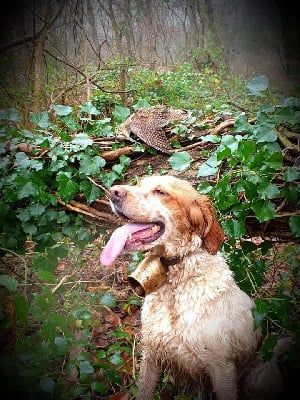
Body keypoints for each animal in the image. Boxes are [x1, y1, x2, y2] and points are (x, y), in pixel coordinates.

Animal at [101, 175, 288, 400]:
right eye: (138, 184)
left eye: (160, 192)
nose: (113, 191)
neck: (175, 282)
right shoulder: (151, 354)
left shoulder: (222, 368)